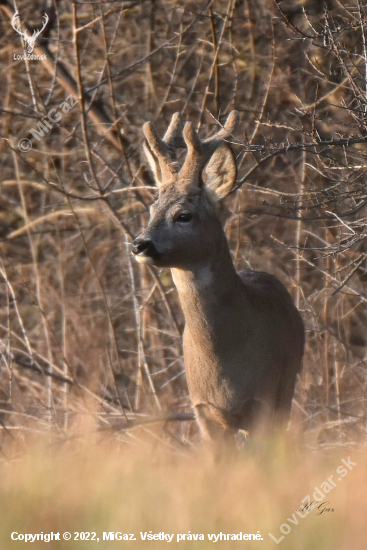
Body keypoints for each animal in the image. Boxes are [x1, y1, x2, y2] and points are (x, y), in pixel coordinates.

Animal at [132, 112, 304, 444]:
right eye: (152, 207)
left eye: (183, 215)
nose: (139, 244)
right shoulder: (202, 408)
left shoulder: (264, 399)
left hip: (286, 388)